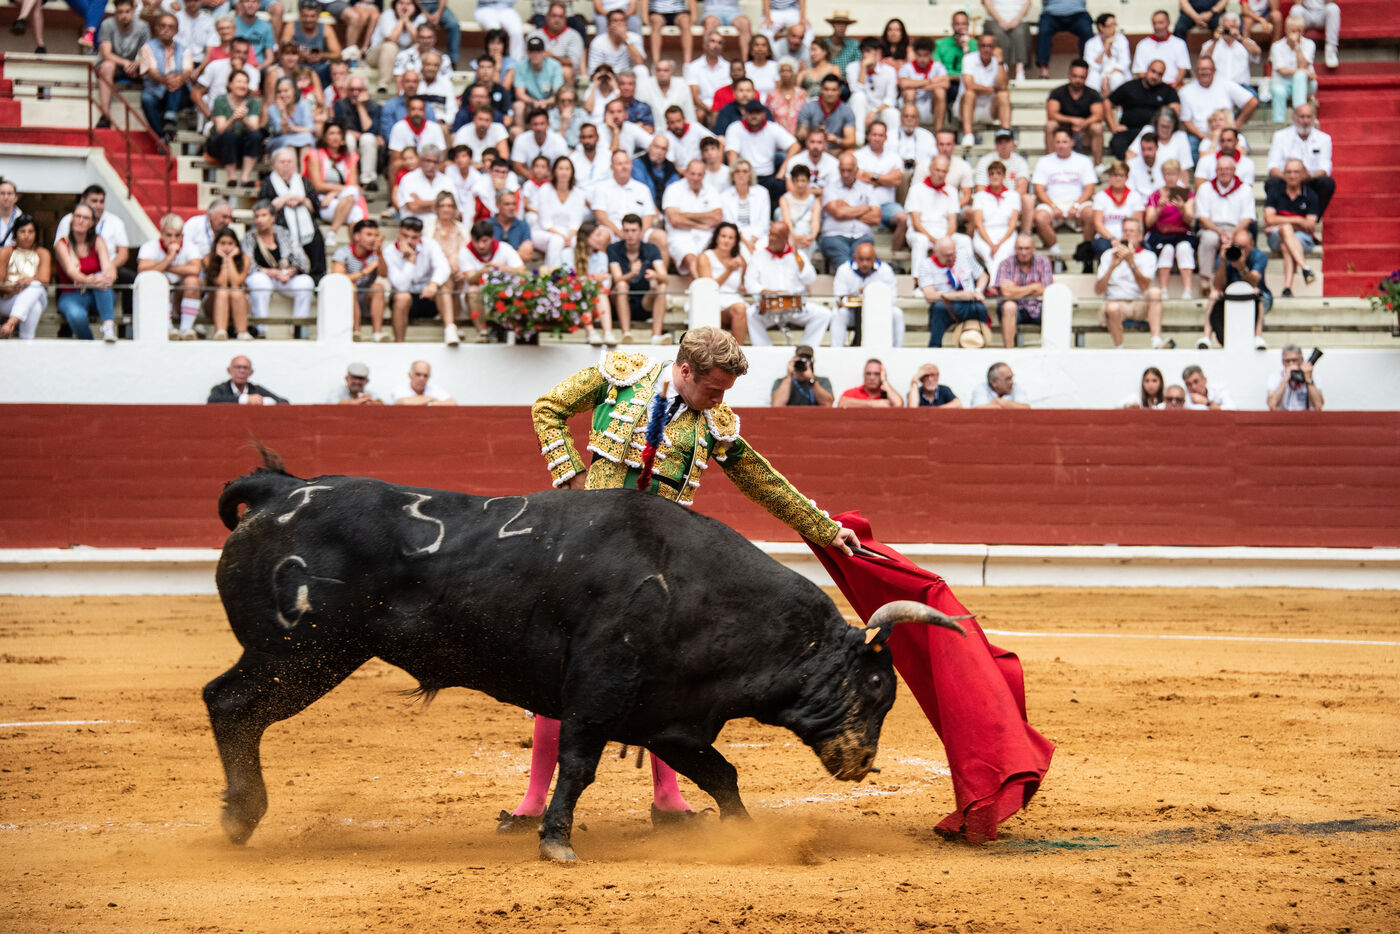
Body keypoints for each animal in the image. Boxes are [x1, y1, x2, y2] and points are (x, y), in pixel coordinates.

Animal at [205, 454, 965, 861]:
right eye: (878, 686)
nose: (862, 763)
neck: (701, 592)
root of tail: (282, 491)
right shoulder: (600, 691)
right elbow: (577, 765)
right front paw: (556, 842)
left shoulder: (672, 719)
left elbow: (722, 774)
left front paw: (745, 836)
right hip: (301, 651)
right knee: (229, 703)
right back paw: (241, 816)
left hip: (303, 655)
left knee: (235, 708)